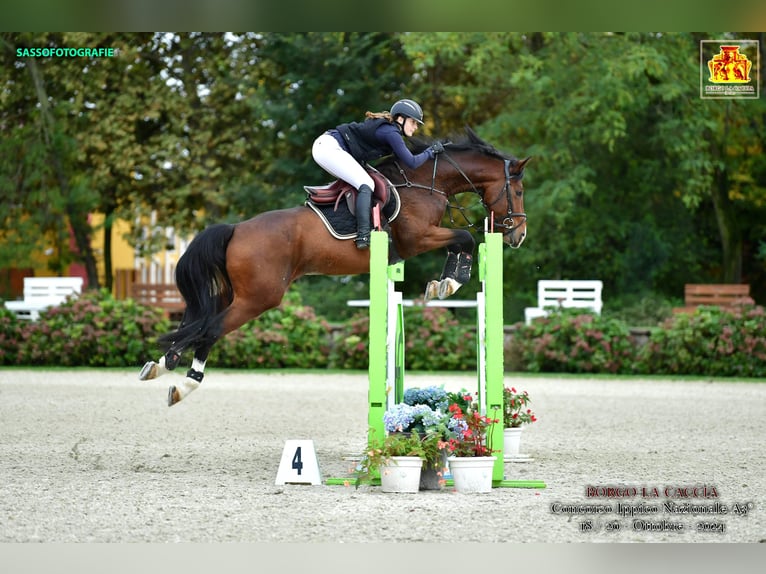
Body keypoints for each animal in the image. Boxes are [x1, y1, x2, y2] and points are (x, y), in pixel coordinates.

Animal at [138, 127, 532, 404]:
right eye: (519, 191)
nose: (519, 235)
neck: (425, 183)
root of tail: (235, 229)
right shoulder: (418, 238)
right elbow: (465, 239)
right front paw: (448, 283)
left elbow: (463, 241)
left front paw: (444, 282)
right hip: (259, 298)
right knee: (211, 329)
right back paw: (185, 384)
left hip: (234, 294)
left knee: (198, 325)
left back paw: (161, 364)